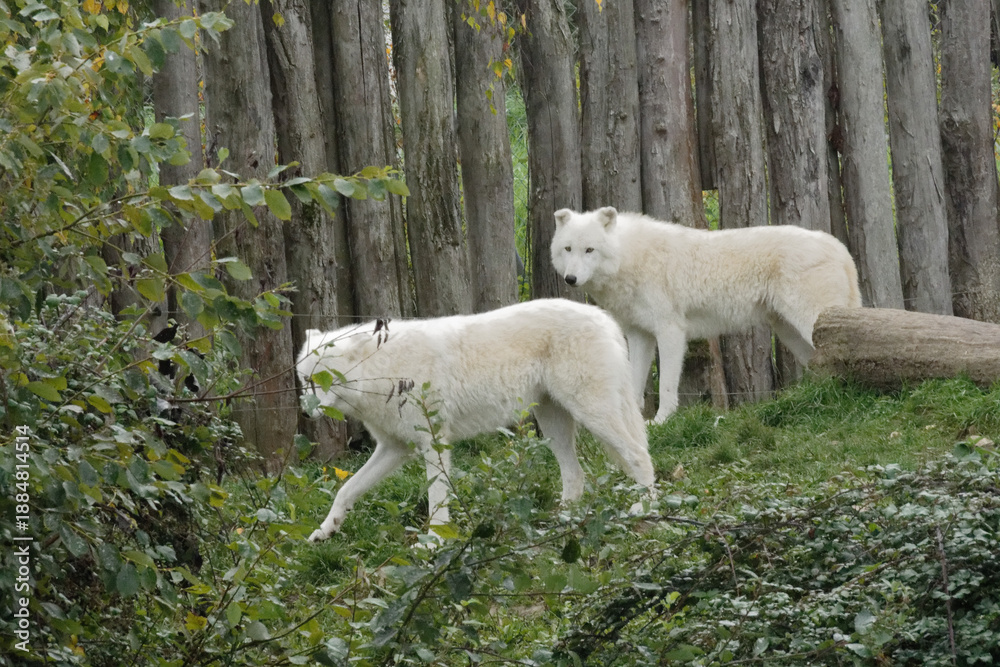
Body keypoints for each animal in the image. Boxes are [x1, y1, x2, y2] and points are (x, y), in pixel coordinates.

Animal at [297, 298, 656, 541]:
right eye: (304, 380)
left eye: (323, 380)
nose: (304, 411)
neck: (384, 371)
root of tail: (603, 317)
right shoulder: (394, 448)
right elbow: (346, 490)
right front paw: (325, 530)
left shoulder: (433, 444)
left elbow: (436, 501)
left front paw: (434, 543)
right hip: (553, 424)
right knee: (575, 473)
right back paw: (559, 521)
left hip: (593, 414)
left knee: (640, 455)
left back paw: (646, 507)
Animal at [551, 207, 862, 423]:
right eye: (568, 249)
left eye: (590, 250)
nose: (570, 279)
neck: (631, 257)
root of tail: (837, 245)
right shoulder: (639, 335)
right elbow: (635, 383)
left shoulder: (670, 331)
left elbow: (666, 386)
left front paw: (661, 421)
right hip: (790, 333)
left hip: (810, 324)